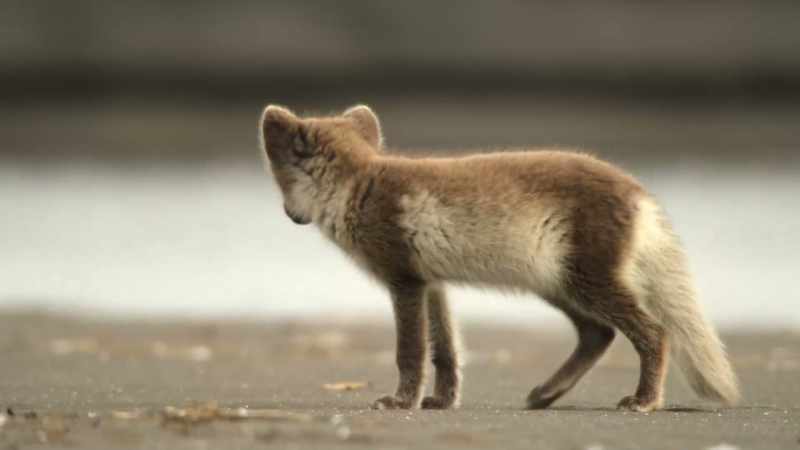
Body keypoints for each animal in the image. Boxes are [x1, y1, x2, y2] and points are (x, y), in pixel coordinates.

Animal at [258, 104, 740, 412]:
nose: (289, 215)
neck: (359, 185)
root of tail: (638, 191)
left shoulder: (404, 281)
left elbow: (410, 351)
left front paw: (400, 401)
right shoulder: (433, 283)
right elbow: (446, 351)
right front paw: (442, 401)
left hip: (586, 282)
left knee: (652, 332)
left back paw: (643, 401)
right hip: (559, 285)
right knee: (598, 334)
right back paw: (546, 394)